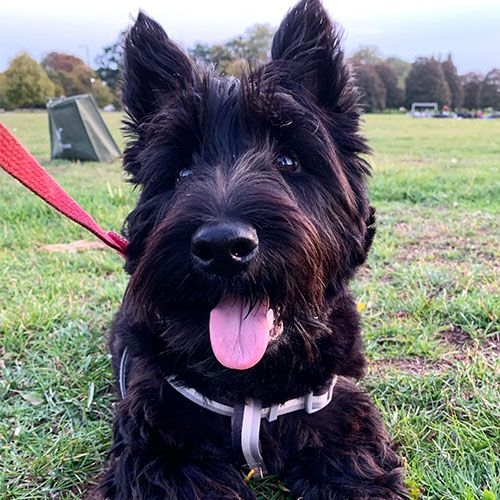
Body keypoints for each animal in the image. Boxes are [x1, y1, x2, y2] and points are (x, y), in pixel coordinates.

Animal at [99, 1, 408, 498]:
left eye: (287, 160)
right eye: (182, 172)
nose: (223, 247)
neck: (249, 386)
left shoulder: (340, 419)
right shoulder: (157, 448)